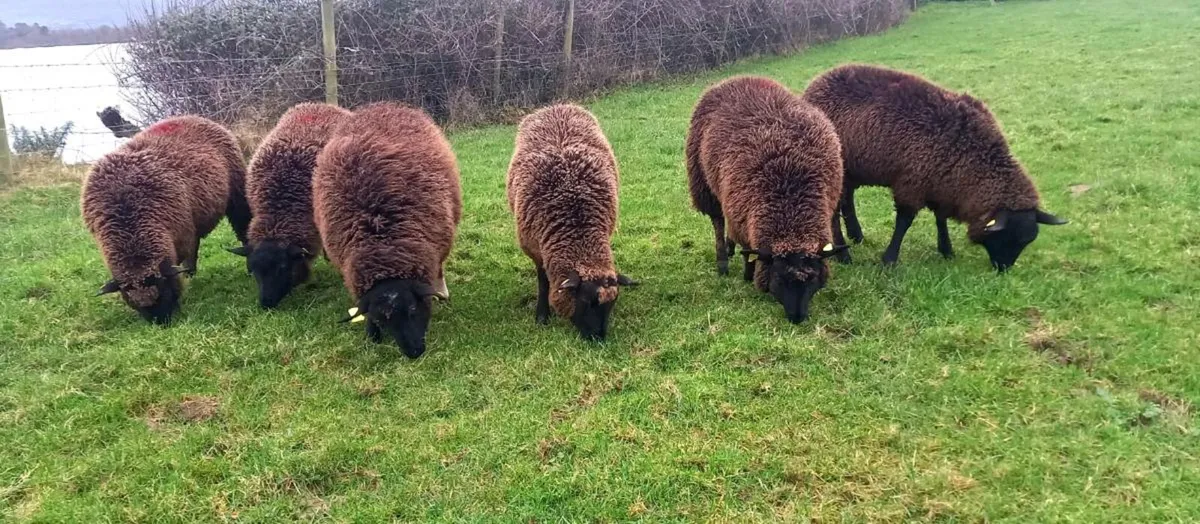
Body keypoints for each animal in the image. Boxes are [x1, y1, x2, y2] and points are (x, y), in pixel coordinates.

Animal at [82, 115, 246, 324]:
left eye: (163, 288)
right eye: (133, 303)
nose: (160, 323)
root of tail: (190, 116)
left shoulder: (179, 237)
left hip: (236, 192)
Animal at [313, 102, 461, 358]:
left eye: (412, 309)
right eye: (383, 320)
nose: (414, 352)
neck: (383, 244)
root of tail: (381, 104)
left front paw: (441, 293)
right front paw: (371, 334)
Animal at [506, 104, 638, 341]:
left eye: (612, 304)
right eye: (585, 301)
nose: (598, 338)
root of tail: (555, 106)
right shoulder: (536, 248)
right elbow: (543, 282)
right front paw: (542, 316)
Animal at [686, 76, 846, 323]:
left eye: (812, 278)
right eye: (779, 278)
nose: (797, 318)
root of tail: (738, 78)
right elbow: (748, 253)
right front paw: (747, 274)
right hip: (704, 184)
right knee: (718, 222)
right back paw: (722, 261)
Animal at [802, 64, 1067, 271]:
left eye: (1026, 241)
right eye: (1008, 236)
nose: (1003, 269)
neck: (974, 156)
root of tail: (815, 84)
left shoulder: (941, 182)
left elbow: (941, 218)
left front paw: (947, 250)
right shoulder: (913, 182)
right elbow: (904, 222)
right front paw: (889, 260)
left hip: (853, 170)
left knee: (847, 199)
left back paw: (856, 235)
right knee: (834, 210)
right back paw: (845, 255)